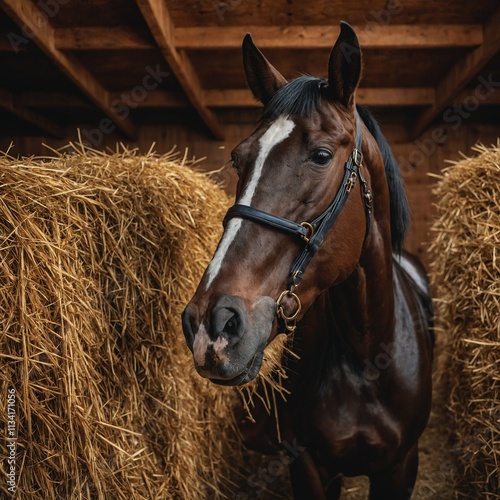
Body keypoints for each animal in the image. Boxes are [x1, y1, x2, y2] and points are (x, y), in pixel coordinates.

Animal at [183, 21, 434, 498]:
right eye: (238, 159)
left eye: (320, 155)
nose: (212, 323)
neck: (365, 358)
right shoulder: (311, 466)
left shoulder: (401, 468)